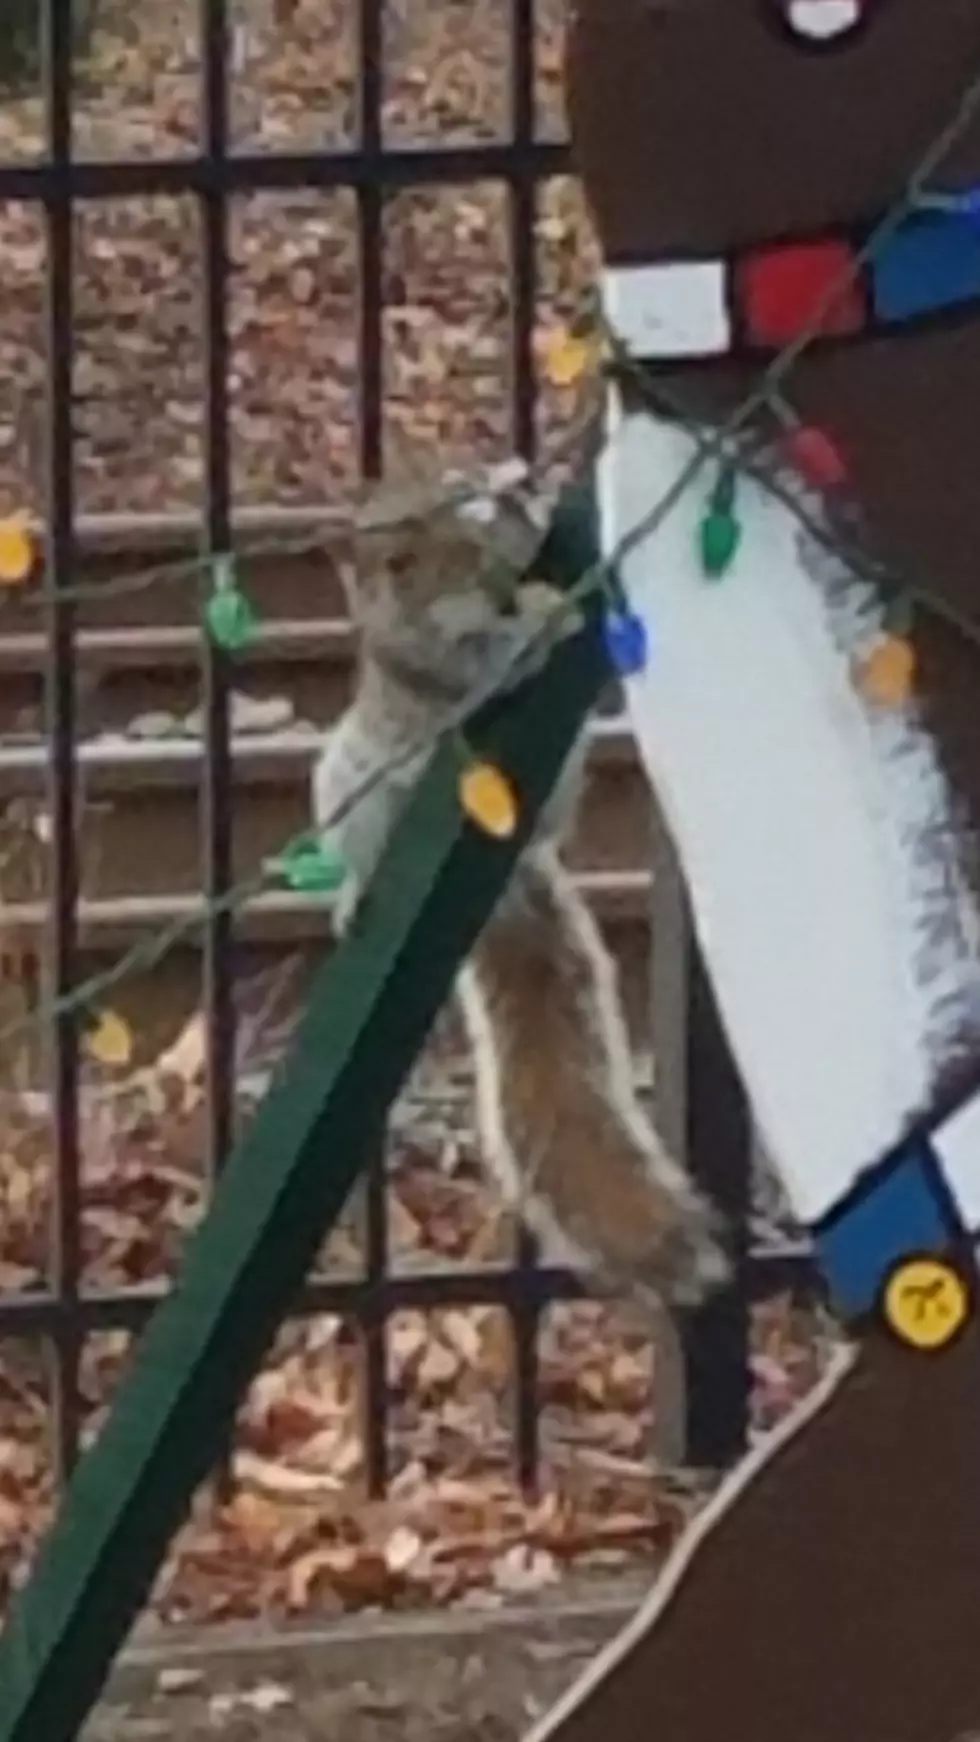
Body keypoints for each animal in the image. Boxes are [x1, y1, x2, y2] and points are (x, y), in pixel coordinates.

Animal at [313, 456, 727, 1309]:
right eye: (391, 564)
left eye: (466, 510)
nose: (481, 576)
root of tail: (502, 901)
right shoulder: (439, 669)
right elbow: (489, 660)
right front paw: (534, 615)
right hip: (347, 787)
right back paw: (354, 896)